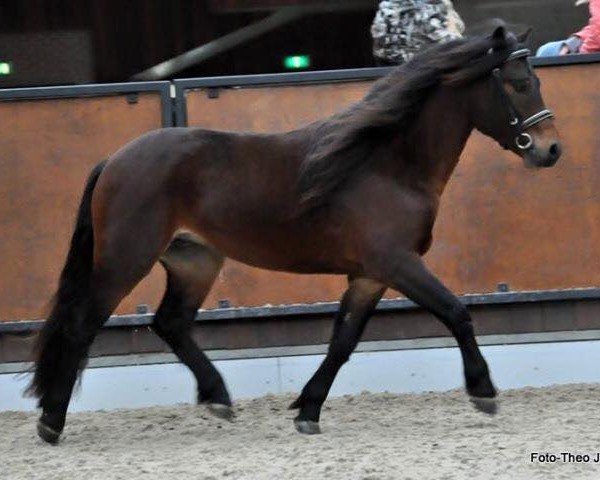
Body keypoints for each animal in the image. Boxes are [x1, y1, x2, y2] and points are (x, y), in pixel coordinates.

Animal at [27, 24, 564, 444]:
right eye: (519, 83)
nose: (550, 149)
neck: (387, 163)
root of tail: (115, 159)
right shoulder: (398, 263)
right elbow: (456, 313)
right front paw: (483, 392)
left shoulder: (370, 277)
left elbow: (342, 343)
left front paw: (308, 410)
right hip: (126, 259)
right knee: (82, 326)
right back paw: (52, 423)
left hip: (194, 260)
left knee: (170, 323)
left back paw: (218, 399)